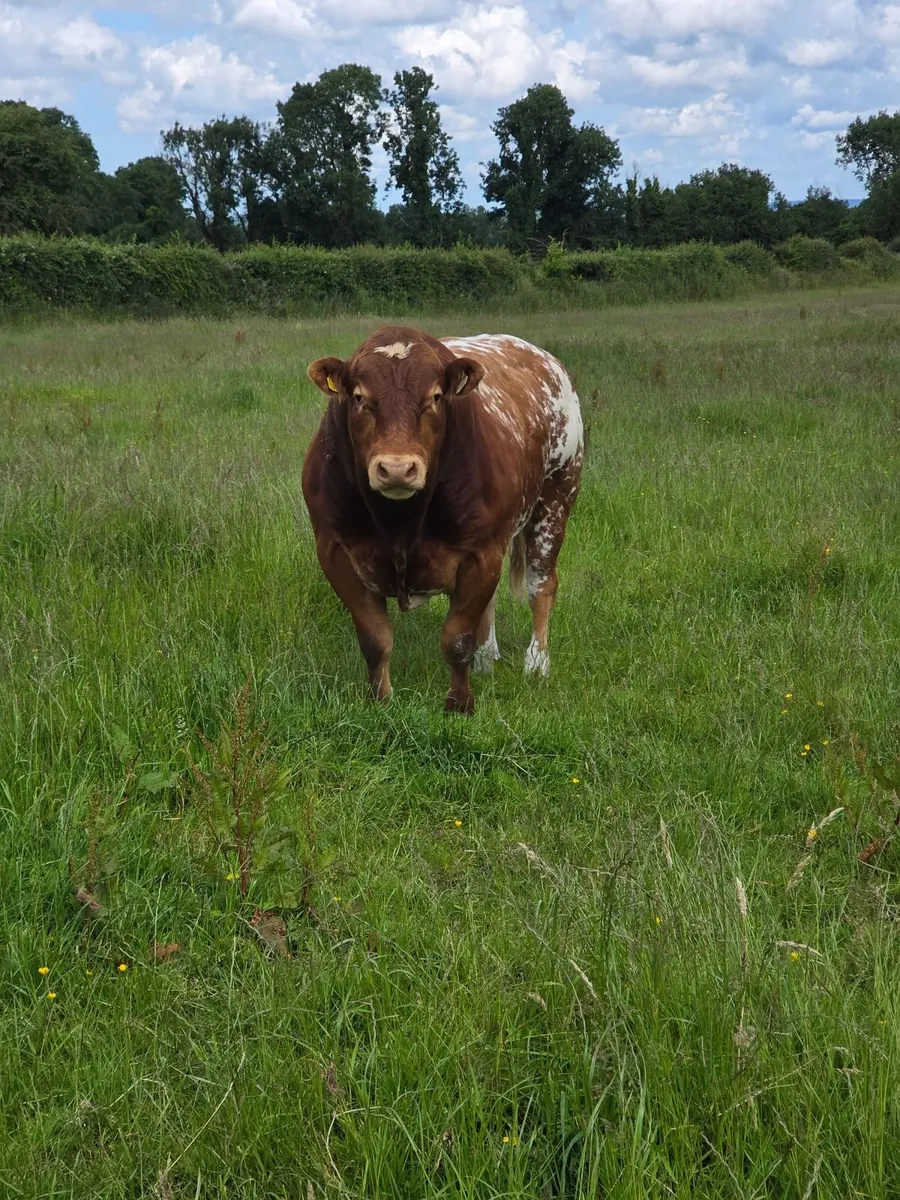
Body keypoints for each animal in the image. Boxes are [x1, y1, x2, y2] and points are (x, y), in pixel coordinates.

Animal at [302, 325, 583, 715]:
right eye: (359, 397)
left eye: (435, 396)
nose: (397, 468)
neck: (399, 522)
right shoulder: (335, 551)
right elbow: (375, 638)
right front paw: (380, 700)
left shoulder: (480, 551)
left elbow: (456, 638)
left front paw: (460, 704)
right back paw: (486, 658)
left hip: (556, 497)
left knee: (541, 584)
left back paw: (537, 662)